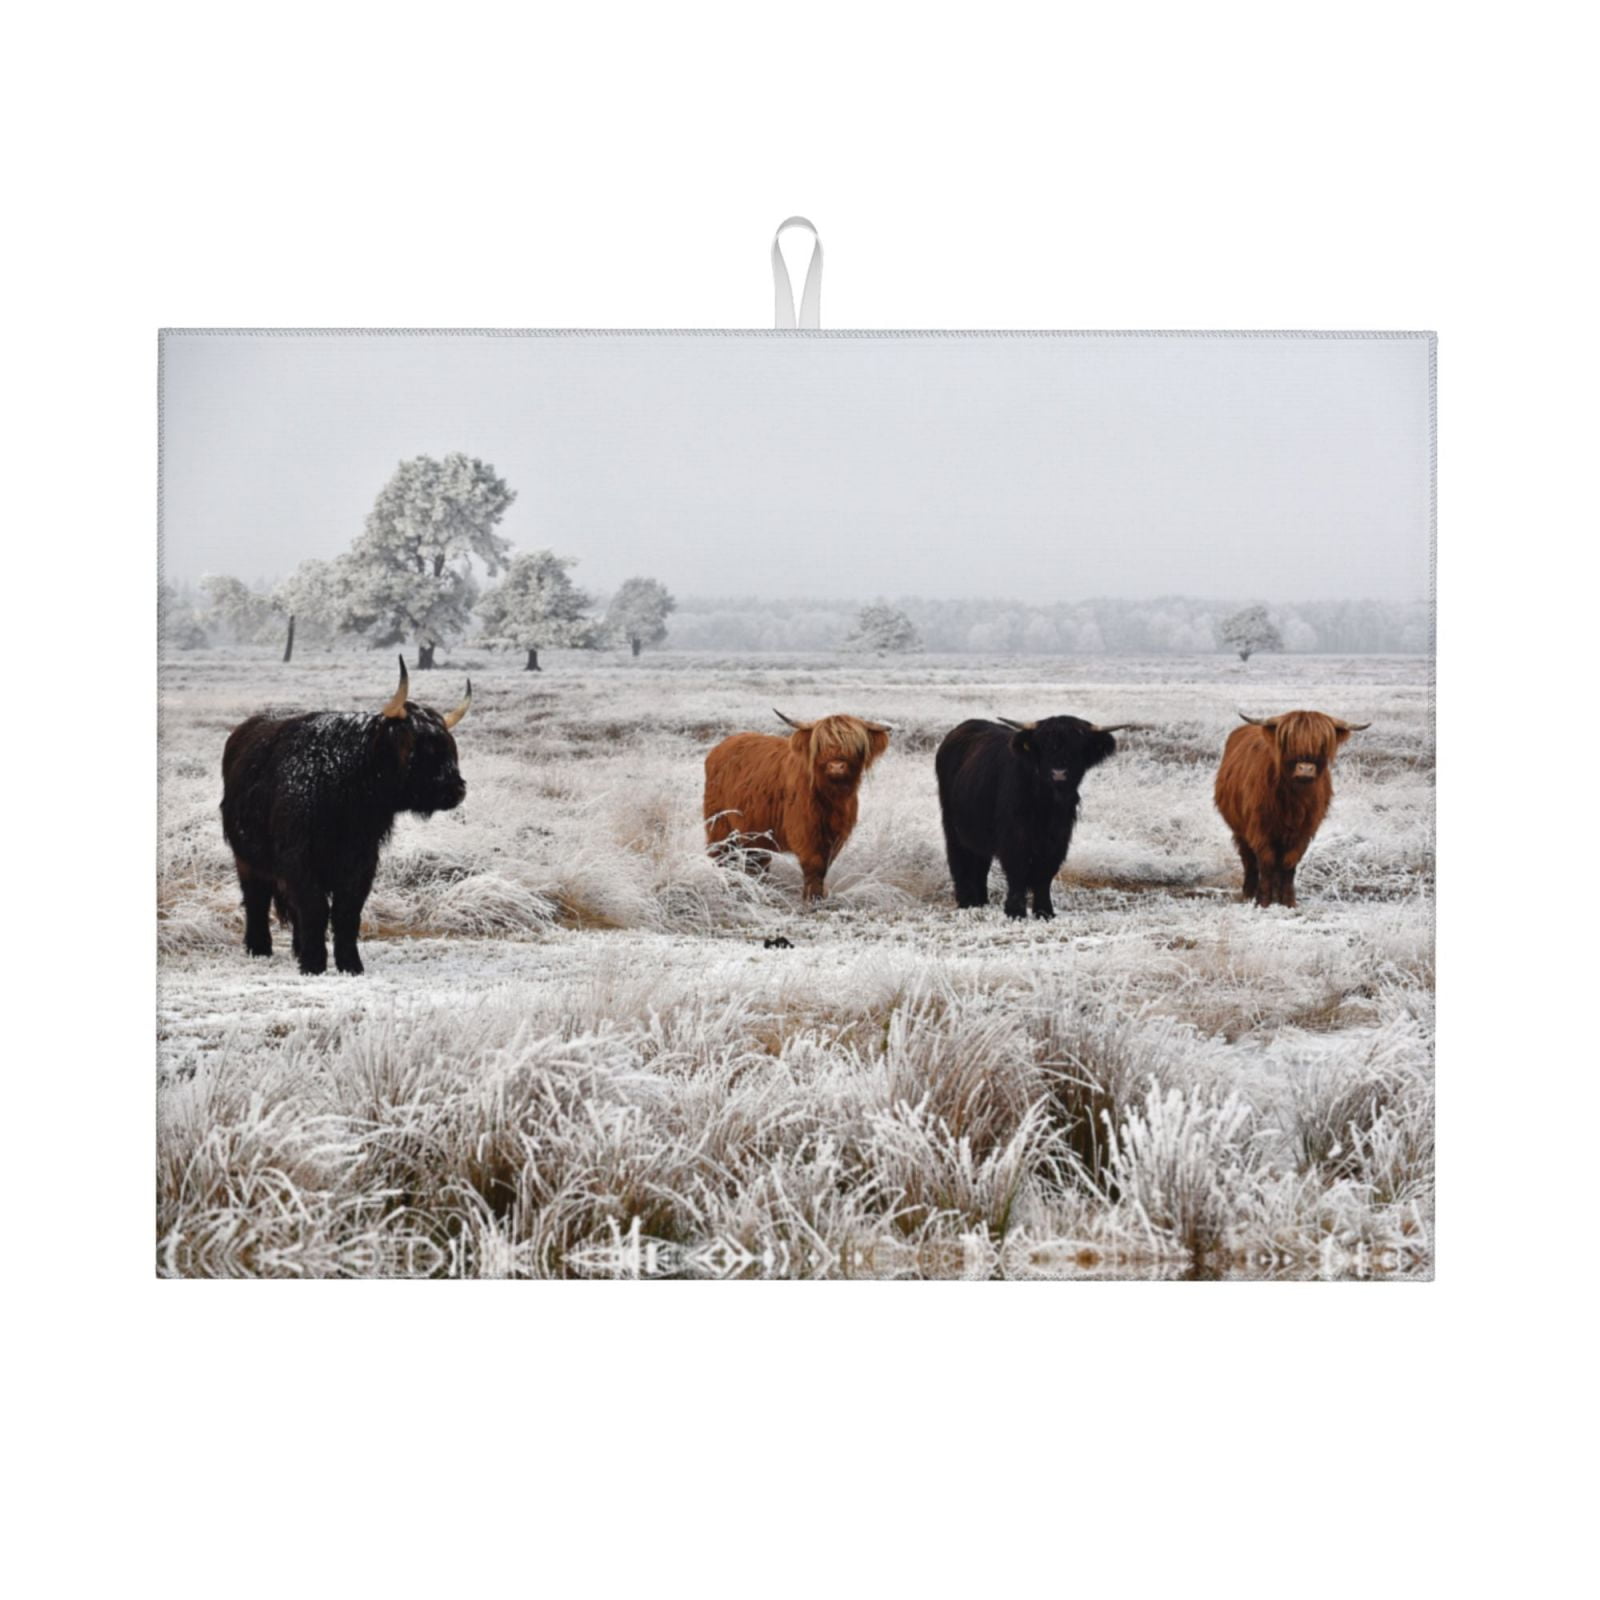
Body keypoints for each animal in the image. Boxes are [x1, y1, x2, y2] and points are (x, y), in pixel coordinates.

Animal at [220, 657, 471, 974]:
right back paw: (259, 948)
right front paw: (314, 963)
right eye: (419, 745)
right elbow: (314, 907)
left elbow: (346, 911)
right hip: (247, 858)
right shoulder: (299, 859)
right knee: (257, 899)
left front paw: (350, 964)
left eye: (450, 747)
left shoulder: (361, 861)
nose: (456, 789)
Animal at [704, 710, 891, 902]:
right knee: (722, 853)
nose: (837, 766)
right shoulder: (803, 829)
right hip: (720, 822)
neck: (831, 798)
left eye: (855, 745)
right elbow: (814, 864)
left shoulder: (836, 834)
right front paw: (812, 898)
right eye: (820, 744)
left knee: (757, 858)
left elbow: (825, 865)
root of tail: (722, 745)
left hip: (755, 828)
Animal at [935, 716, 1134, 919]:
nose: (1059, 773)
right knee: (959, 858)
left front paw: (1045, 911)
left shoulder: (1059, 838)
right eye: (1044, 745)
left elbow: (1045, 873)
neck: (1046, 804)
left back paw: (982, 901)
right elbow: (1018, 869)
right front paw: (1015, 911)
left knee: (981, 862)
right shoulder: (1014, 836)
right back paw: (967, 902)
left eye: (1078, 747)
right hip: (952, 824)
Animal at [1213, 709, 1370, 908]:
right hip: (1240, 829)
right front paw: (1264, 902)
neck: (1293, 800)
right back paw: (1248, 893)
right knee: (1248, 859)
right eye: (1289, 742)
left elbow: (1289, 864)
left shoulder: (1304, 832)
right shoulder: (1259, 829)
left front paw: (1288, 901)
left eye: (1322, 744)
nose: (1305, 769)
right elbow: (1266, 862)